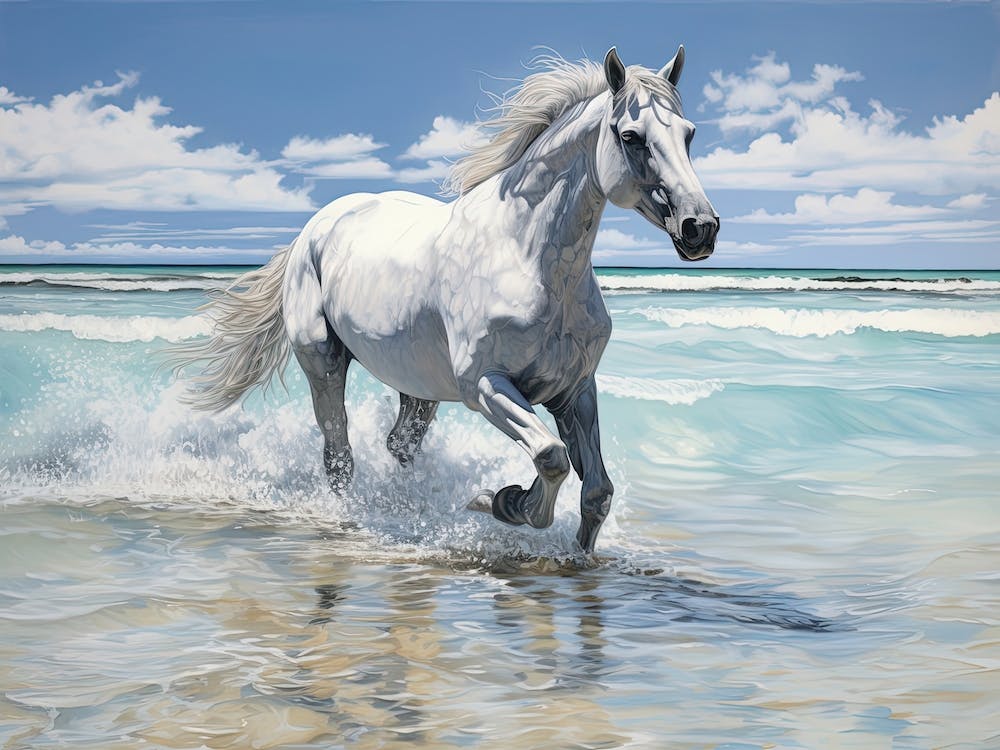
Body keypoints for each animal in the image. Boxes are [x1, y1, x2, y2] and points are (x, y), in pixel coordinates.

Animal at [172, 46, 719, 554]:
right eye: (630, 136)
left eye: (688, 134)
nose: (700, 228)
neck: (526, 255)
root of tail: (314, 227)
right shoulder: (486, 386)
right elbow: (551, 457)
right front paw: (499, 501)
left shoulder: (575, 390)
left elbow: (597, 491)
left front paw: (571, 551)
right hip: (323, 362)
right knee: (338, 453)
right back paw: (356, 518)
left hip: (419, 384)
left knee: (399, 445)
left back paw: (413, 514)